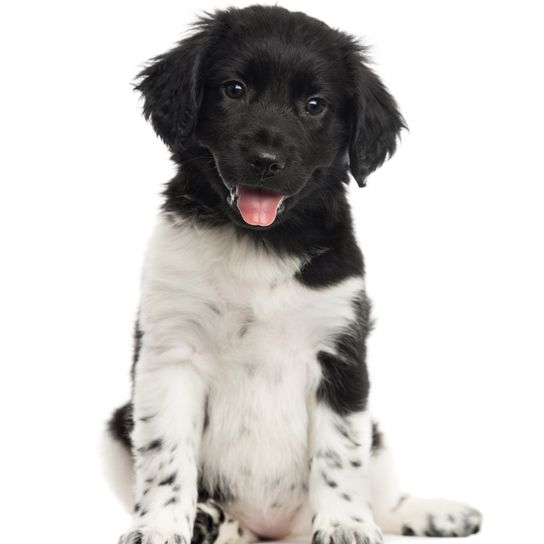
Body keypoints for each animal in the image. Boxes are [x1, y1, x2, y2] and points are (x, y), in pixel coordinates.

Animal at [104, 5, 482, 544]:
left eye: (314, 105)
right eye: (234, 89)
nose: (266, 161)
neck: (260, 245)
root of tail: (275, 531)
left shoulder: (341, 354)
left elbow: (340, 455)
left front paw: (346, 524)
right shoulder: (170, 354)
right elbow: (166, 458)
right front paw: (159, 525)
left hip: (377, 436)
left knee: (385, 496)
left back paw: (432, 513)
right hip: (117, 422)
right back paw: (211, 521)